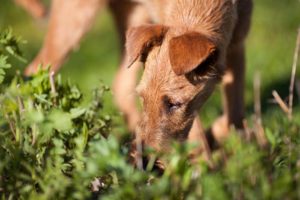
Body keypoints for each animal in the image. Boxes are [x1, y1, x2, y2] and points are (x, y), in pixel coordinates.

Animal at [24, 0, 253, 162]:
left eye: (174, 104)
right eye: (143, 98)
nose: (149, 157)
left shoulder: (236, 48)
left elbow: (235, 116)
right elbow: (198, 135)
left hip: (132, 22)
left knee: (120, 84)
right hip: (75, 20)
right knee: (33, 73)